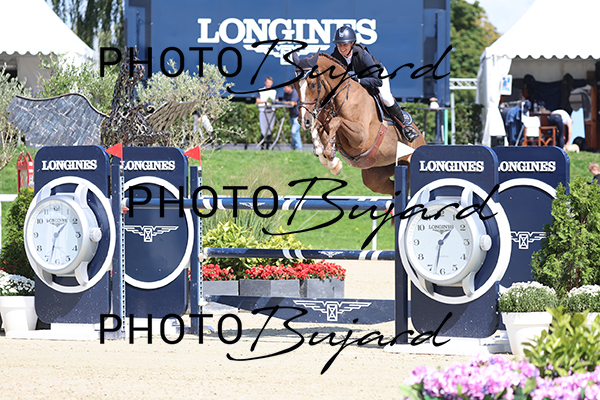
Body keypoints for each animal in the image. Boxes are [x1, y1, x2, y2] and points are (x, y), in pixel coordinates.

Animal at [292, 52, 426, 197]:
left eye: (312, 85)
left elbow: (336, 121)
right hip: (376, 174)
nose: (303, 121)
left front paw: (333, 163)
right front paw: (326, 157)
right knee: (392, 188)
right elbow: (317, 127)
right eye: (295, 86)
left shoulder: (360, 138)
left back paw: (409, 132)